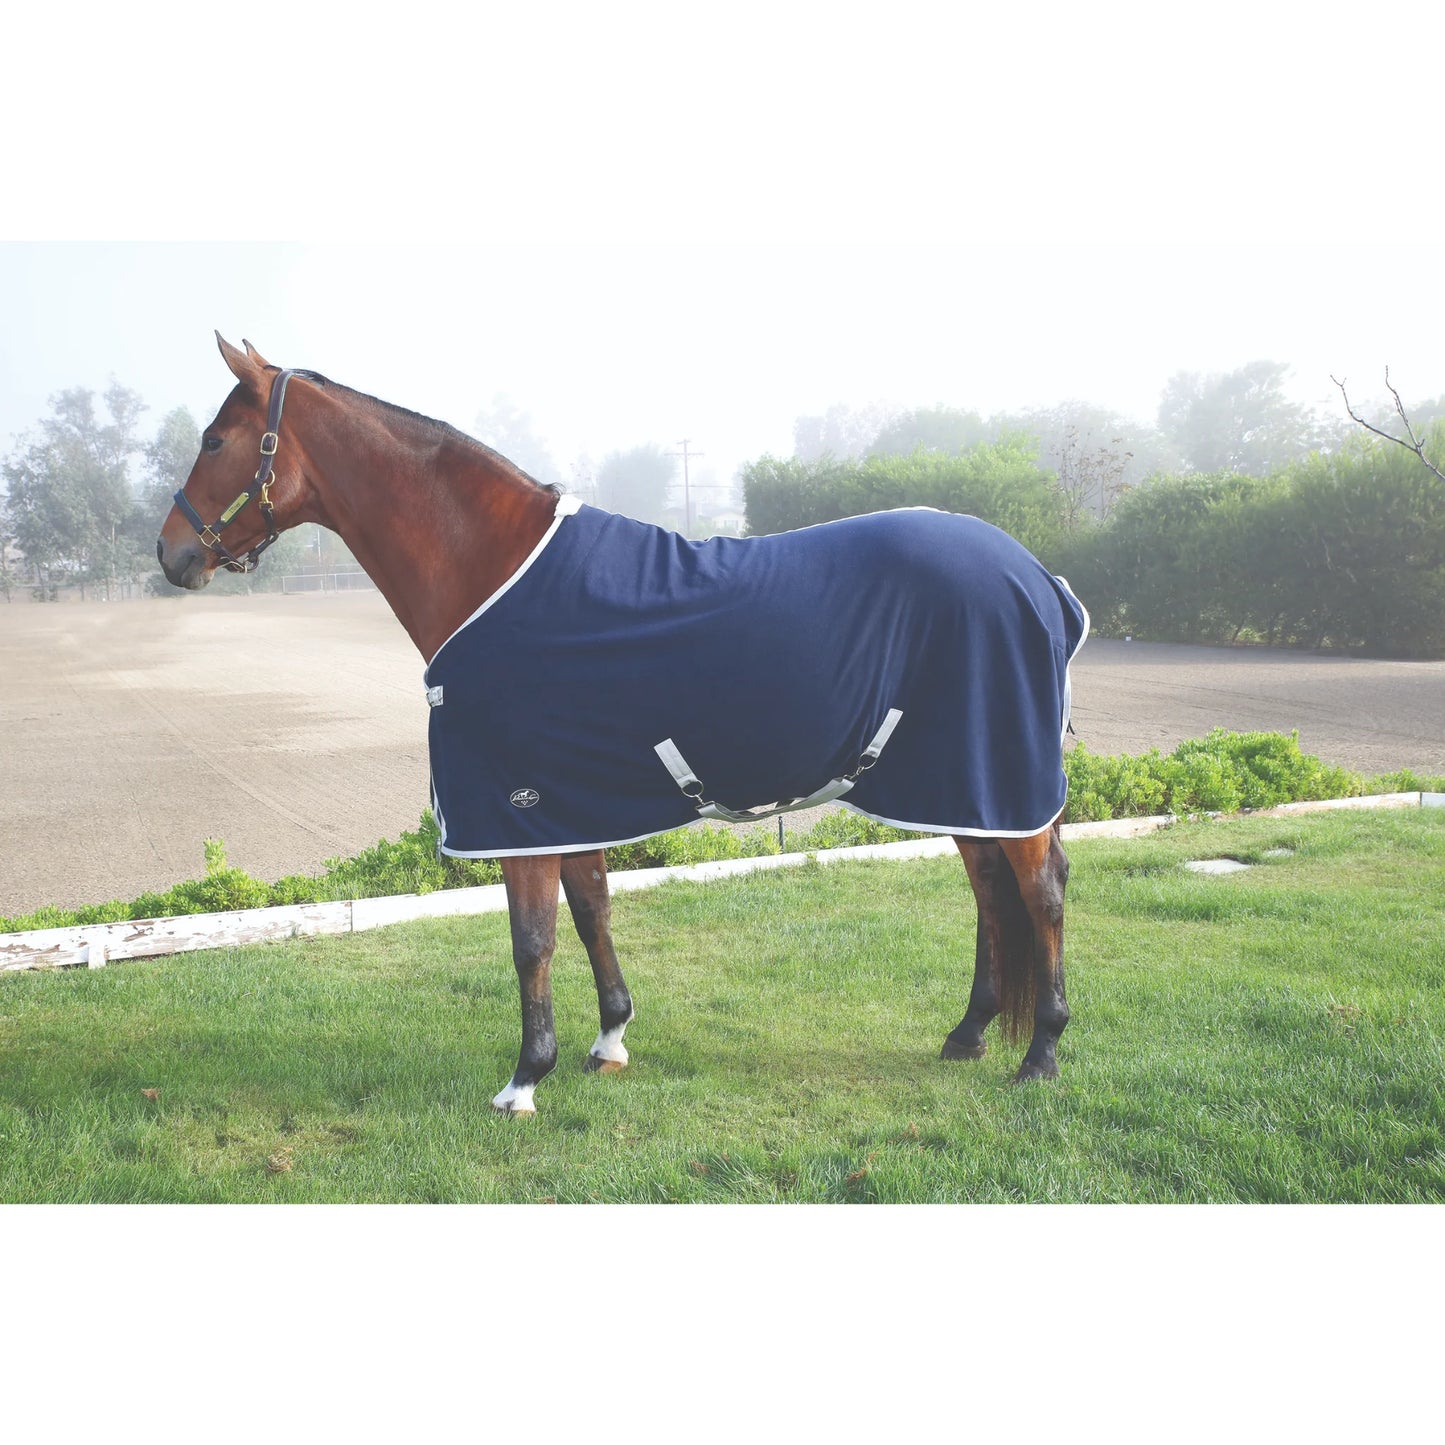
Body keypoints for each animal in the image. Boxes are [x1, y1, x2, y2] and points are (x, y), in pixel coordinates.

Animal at [157, 334, 1086, 1115]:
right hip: (956, 779)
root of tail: (1037, 577)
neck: (494, 570)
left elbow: (532, 937)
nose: (172, 554)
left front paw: (524, 1079)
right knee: (988, 889)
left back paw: (1040, 1053)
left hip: (994, 774)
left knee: (1039, 890)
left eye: (214, 440)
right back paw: (968, 1032)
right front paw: (608, 1038)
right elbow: (591, 909)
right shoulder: (570, 796)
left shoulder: (518, 803)